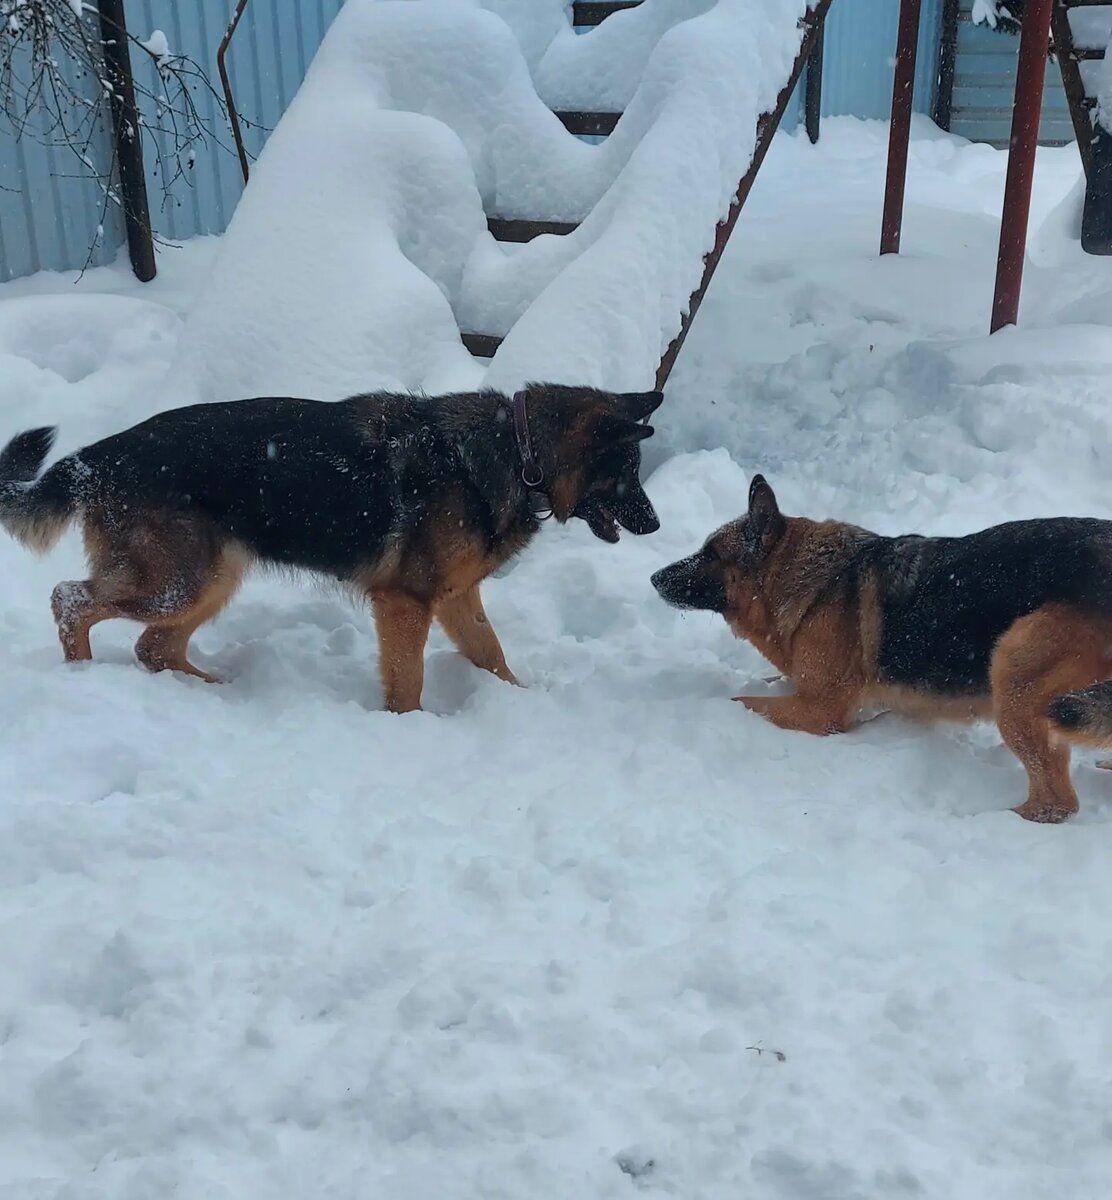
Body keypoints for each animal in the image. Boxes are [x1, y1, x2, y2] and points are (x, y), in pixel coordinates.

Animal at [0, 381, 662, 710]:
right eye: (627, 469)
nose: (656, 526)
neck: (517, 448)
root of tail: (94, 456)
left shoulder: (454, 599)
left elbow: (492, 654)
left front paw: (519, 700)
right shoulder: (406, 603)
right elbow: (408, 682)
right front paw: (410, 728)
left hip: (212, 578)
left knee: (153, 646)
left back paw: (213, 691)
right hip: (179, 582)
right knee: (70, 599)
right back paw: (83, 677)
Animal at [652, 472, 1112, 820]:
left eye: (711, 554)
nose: (654, 577)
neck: (813, 582)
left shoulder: (819, 712)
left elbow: (741, 701)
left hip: (1013, 667)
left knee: (1057, 803)